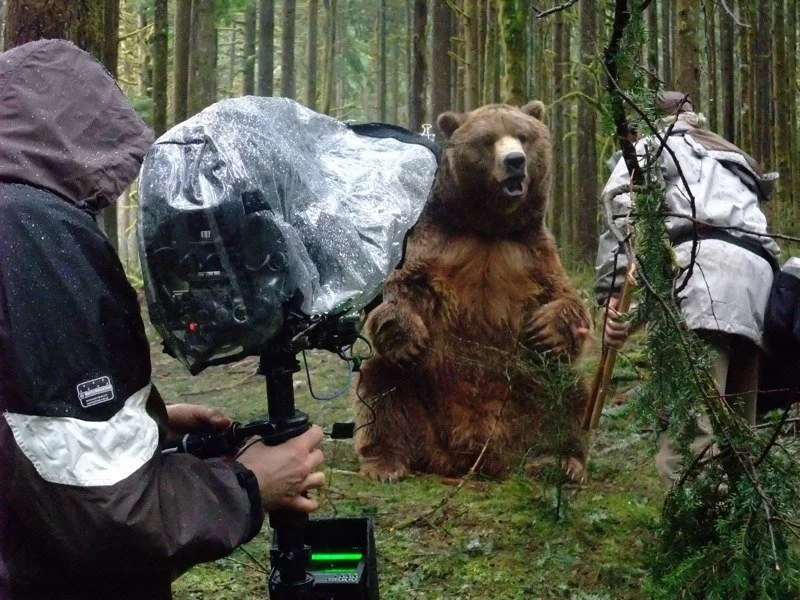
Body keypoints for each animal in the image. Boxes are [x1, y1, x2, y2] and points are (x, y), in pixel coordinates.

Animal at [353, 101, 591, 482]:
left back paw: (557, 460)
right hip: (418, 400)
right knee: (380, 385)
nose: (515, 161)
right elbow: (397, 290)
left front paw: (547, 329)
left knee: (565, 389)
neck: (488, 228)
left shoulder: (531, 254)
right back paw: (386, 462)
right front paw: (408, 335)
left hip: (527, 392)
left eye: (523, 136)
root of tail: (470, 456)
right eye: (488, 139)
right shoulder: (435, 245)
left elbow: (563, 298)